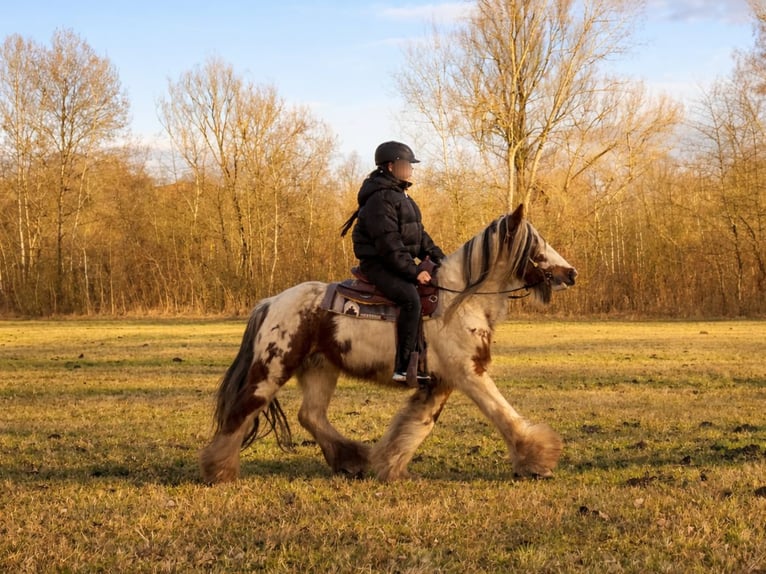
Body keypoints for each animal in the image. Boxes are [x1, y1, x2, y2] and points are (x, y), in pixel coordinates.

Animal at [200, 203, 577, 483]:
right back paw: (219, 470)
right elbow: (502, 413)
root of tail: (270, 302)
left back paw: (351, 460)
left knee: (311, 415)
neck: (458, 301)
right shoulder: (471, 374)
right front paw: (537, 461)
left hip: (320, 369)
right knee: (242, 411)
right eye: (536, 245)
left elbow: (416, 425)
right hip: (273, 368)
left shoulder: (440, 382)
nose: (571, 273)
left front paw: (390, 466)